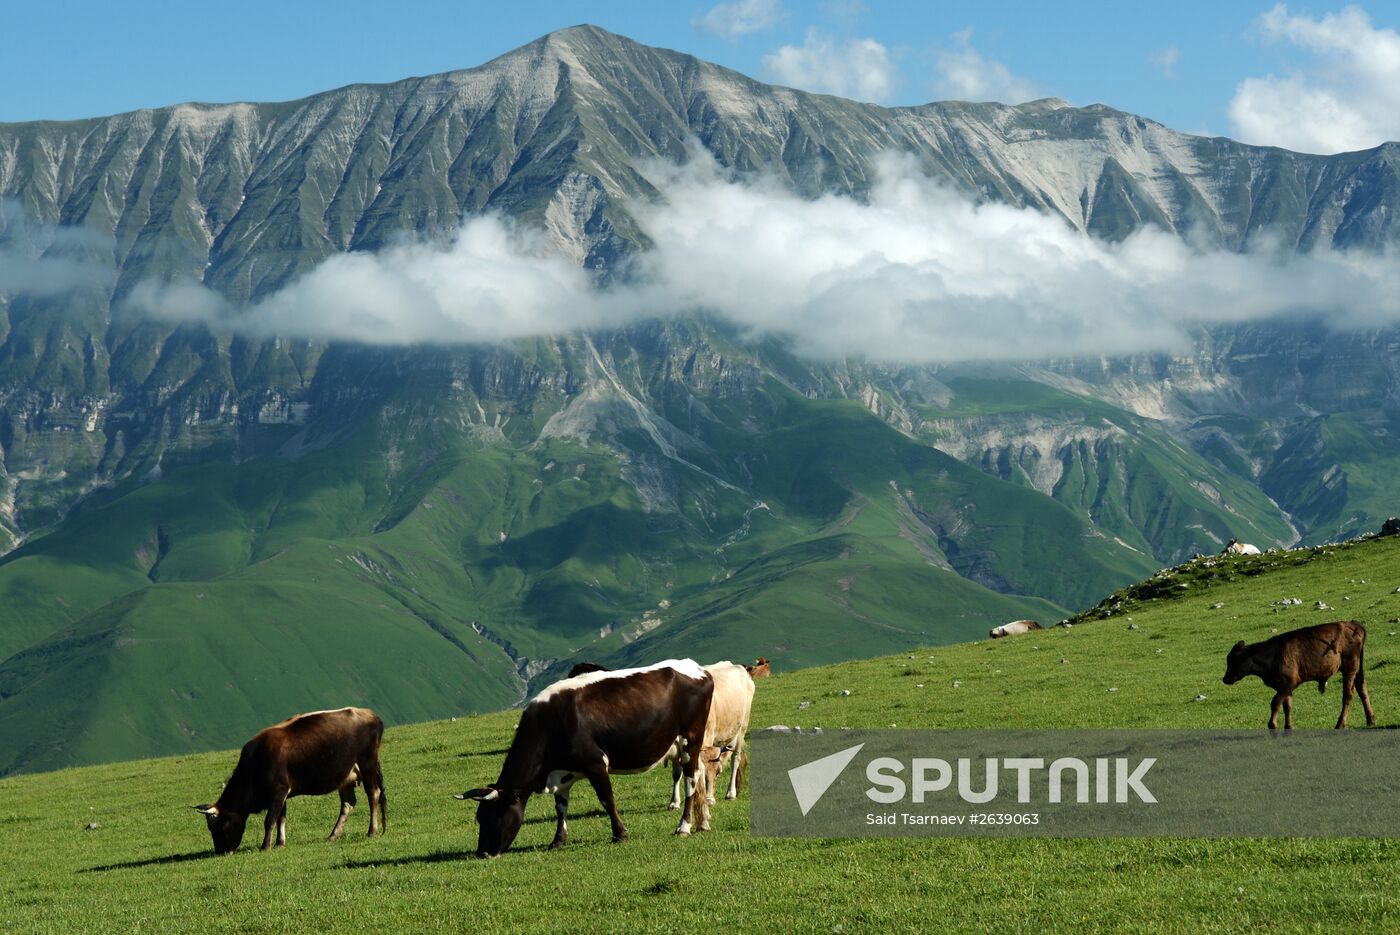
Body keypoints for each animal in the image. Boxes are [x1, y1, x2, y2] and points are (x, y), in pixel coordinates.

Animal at [193, 708, 389, 856]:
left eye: (218, 826)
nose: (221, 852)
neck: (256, 762)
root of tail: (371, 714)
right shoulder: (281, 794)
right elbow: (281, 818)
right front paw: (280, 843)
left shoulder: (279, 790)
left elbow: (270, 820)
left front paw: (265, 846)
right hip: (346, 776)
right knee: (348, 803)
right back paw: (333, 835)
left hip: (367, 765)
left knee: (373, 794)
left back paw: (372, 831)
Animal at [459, 657, 716, 856]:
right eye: (479, 817)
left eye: (494, 815)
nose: (482, 853)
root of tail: (697, 668)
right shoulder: (561, 773)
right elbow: (561, 807)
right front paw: (558, 841)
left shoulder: (595, 763)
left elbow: (607, 799)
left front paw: (620, 834)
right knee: (700, 776)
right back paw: (704, 822)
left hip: (690, 739)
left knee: (691, 781)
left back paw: (684, 826)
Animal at [666, 660, 756, 806]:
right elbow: (677, 771)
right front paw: (674, 802)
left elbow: (705, 768)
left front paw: (707, 798)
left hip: (742, 728)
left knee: (735, 759)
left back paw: (730, 793)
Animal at [1226, 624, 1377, 733]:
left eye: (1234, 661)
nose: (1225, 679)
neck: (1272, 656)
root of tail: (1353, 624)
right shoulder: (1285, 687)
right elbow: (1287, 706)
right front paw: (1288, 727)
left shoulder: (1289, 683)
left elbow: (1275, 702)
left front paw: (1272, 725)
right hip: (1355, 670)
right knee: (1361, 686)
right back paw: (1370, 719)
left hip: (1349, 667)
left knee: (1348, 695)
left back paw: (1340, 724)